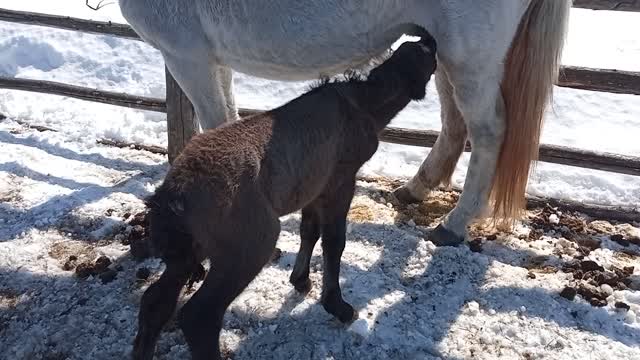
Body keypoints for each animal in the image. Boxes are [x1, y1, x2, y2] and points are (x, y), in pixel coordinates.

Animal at [119, 0, 568, 246]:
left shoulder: (186, 56)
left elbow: (215, 123)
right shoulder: (212, 60)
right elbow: (228, 119)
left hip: (469, 58)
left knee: (488, 132)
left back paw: (454, 226)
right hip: (446, 53)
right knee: (455, 124)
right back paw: (415, 190)